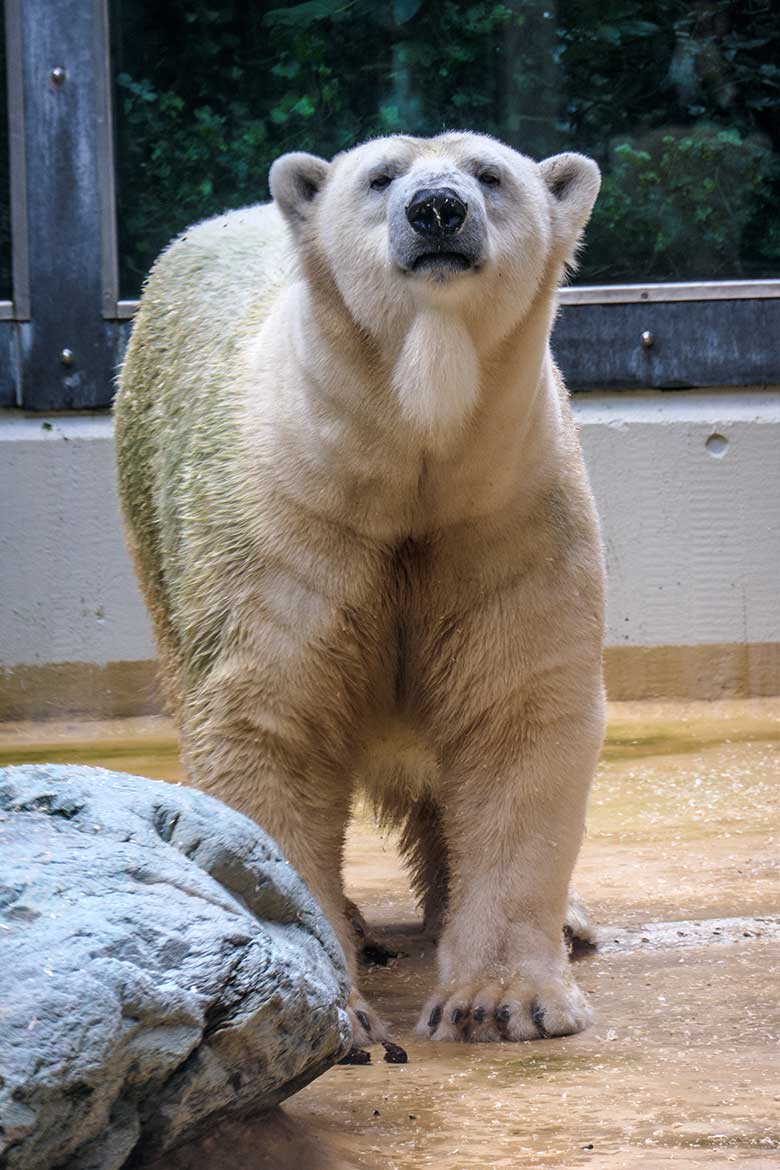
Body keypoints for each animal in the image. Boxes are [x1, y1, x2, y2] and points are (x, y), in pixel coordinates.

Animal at [114, 134, 603, 1053]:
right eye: (379, 178)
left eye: (490, 174)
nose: (437, 209)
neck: (408, 456)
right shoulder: (286, 524)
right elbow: (272, 722)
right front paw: (330, 1005)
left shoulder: (510, 513)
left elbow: (516, 714)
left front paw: (500, 1000)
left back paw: (571, 922)